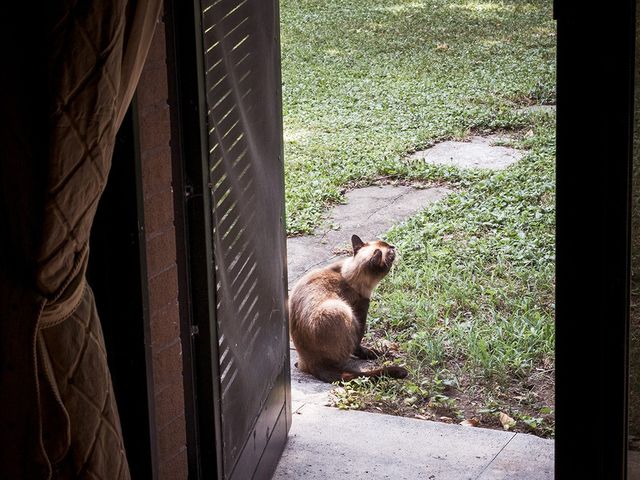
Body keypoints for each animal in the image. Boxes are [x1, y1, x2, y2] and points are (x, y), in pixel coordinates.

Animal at [288, 233, 408, 382]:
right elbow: (358, 345)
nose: (393, 246)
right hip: (341, 310)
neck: (349, 277)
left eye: (386, 244)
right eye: (390, 254)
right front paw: (375, 353)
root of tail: (312, 364)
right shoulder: (361, 313)